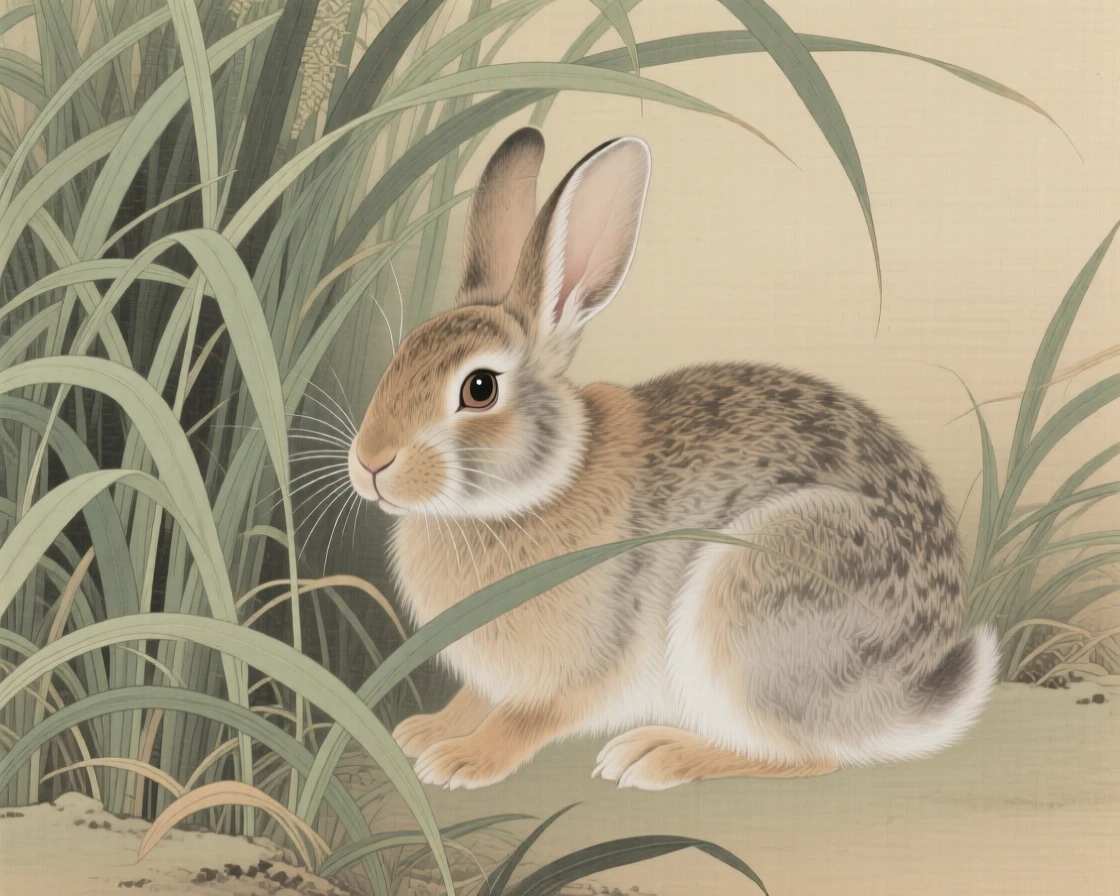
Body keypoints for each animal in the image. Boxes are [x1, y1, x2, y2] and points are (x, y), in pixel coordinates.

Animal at [347, 126, 999, 791]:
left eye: (480, 389)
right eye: (400, 357)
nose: (370, 464)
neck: (539, 487)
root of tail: (900, 696)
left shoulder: (591, 662)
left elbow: (530, 717)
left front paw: (462, 760)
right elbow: (478, 698)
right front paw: (424, 731)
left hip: (754, 599)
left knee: (807, 755)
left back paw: (656, 756)